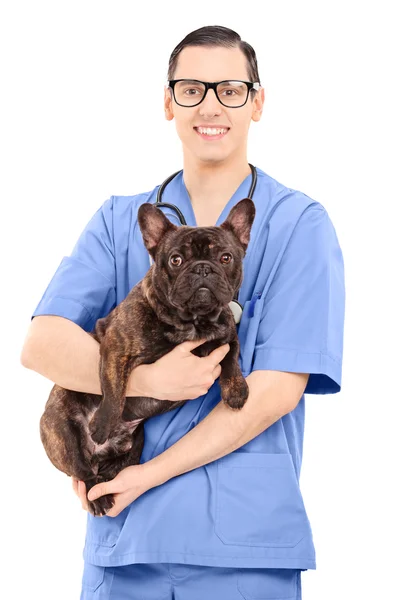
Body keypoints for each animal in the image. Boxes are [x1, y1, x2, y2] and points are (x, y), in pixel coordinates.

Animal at [40, 197, 256, 516]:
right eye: (176, 260)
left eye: (226, 258)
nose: (202, 269)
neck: (193, 322)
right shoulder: (116, 346)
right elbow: (114, 390)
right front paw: (102, 423)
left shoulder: (226, 334)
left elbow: (231, 357)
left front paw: (236, 390)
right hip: (63, 433)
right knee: (82, 471)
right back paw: (97, 493)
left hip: (136, 442)